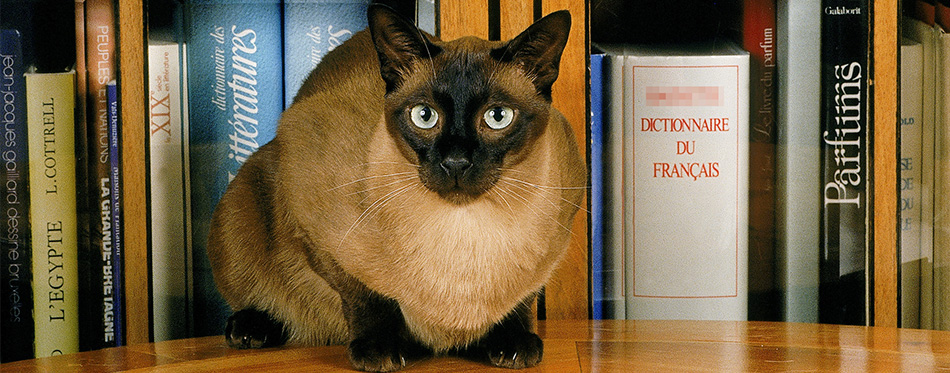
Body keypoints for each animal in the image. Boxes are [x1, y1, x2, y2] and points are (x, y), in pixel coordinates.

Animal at [206, 4, 588, 370]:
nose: (456, 162)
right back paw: (250, 328)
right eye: (425, 115)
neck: (464, 234)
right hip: (242, 206)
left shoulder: (553, 240)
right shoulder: (315, 230)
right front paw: (380, 351)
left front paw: (513, 344)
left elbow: (520, 301)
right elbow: (368, 297)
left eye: (498, 117)